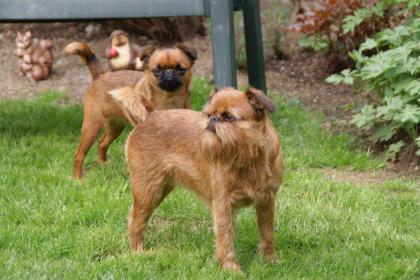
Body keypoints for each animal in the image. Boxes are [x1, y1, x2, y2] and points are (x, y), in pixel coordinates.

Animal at [65, 41, 197, 178]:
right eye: (157, 70)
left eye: (181, 69)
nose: (169, 72)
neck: (169, 99)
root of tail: (100, 75)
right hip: (91, 127)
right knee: (79, 155)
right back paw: (78, 177)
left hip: (115, 127)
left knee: (102, 143)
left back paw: (103, 164)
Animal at [113, 87, 284, 272]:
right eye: (209, 114)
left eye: (228, 117)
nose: (213, 118)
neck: (249, 159)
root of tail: (147, 117)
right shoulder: (223, 203)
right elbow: (226, 236)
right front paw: (230, 267)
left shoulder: (266, 202)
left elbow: (267, 232)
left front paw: (269, 259)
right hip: (148, 190)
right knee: (135, 219)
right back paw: (138, 251)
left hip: (160, 190)